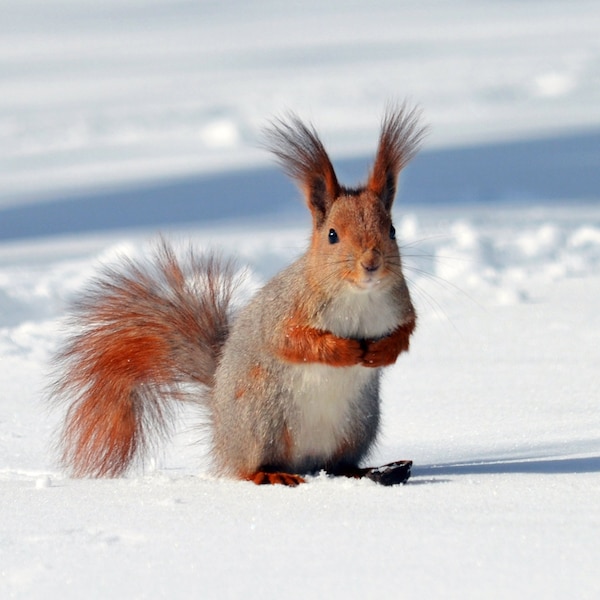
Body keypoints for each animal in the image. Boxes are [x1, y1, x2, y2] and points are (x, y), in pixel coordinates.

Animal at [51, 105, 426, 486]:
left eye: (392, 230)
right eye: (332, 235)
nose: (371, 263)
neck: (359, 296)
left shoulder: (401, 306)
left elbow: (405, 332)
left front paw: (380, 351)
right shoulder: (287, 310)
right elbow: (290, 341)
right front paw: (346, 350)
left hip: (357, 426)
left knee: (338, 464)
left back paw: (366, 470)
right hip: (262, 420)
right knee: (247, 468)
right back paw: (273, 475)